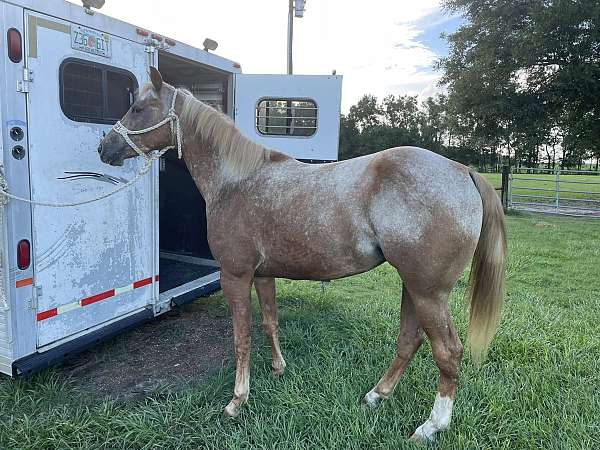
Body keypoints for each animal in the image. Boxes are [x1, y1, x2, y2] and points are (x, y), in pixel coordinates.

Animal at [98, 68, 506, 442]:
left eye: (138, 108)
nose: (105, 148)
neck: (236, 181)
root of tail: (462, 171)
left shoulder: (235, 276)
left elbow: (241, 336)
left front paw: (237, 400)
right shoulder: (263, 274)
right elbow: (270, 322)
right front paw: (278, 369)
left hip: (429, 293)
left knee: (448, 352)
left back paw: (431, 426)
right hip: (414, 287)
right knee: (410, 340)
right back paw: (376, 395)